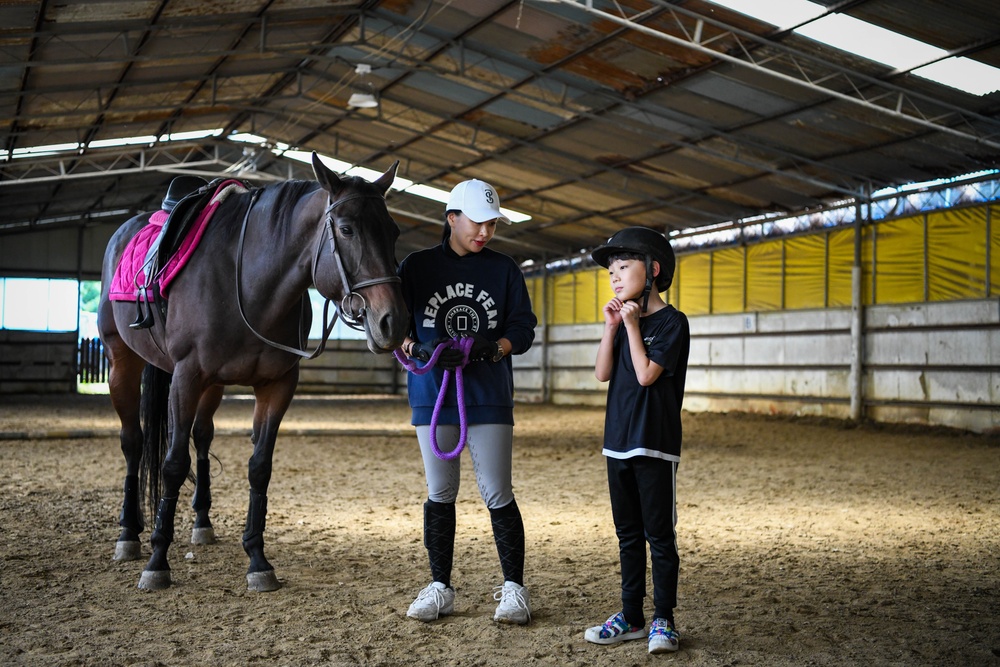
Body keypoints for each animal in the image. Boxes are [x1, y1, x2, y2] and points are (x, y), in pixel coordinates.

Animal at [94, 154, 406, 592]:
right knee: (134, 443)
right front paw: (157, 562)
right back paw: (129, 535)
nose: (392, 322)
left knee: (201, 437)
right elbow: (173, 466)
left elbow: (259, 468)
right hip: (123, 362)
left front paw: (258, 560)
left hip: (212, 385)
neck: (247, 280)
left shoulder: (276, 385)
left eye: (393, 232)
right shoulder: (185, 378)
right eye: (346, 229)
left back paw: (202, 524)